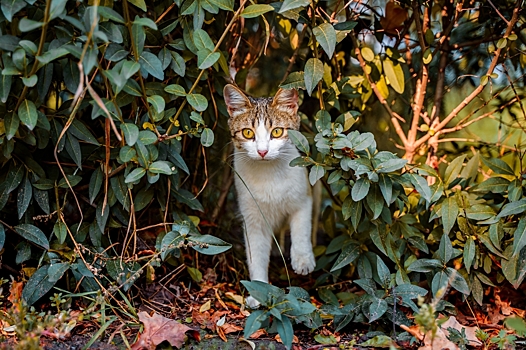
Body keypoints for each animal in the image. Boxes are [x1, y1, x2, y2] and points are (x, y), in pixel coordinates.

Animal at [224, 84, 318, 306]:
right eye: (247, 133)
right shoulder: (252, 217)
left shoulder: (303, 194)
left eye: (277, 131)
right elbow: (256, 254)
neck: (269, 174)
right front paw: (258, 290)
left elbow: (301, 226)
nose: (262, 151)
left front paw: (303, 258)